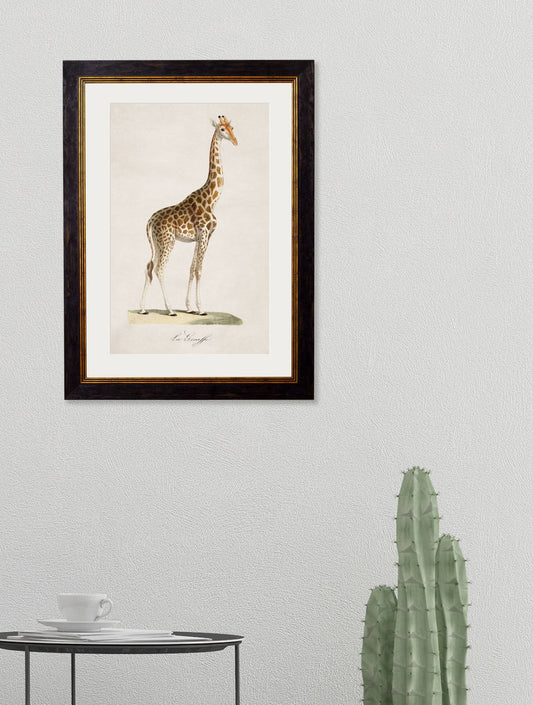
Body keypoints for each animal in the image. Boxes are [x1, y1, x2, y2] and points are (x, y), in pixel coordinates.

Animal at [139, 115, 238, 316]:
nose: (235, 141)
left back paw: (143, 308)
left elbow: (192, 269)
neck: (212, 199)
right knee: (160, 269)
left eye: (232, 128)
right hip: (168, 241)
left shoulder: (200, 237)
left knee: (149, 267)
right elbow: (199, 270)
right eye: (222, 129)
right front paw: (201, 309)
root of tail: (150, 220)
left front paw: (190, 307)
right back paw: (169, 309)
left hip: (157, 242)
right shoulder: (205, 234)